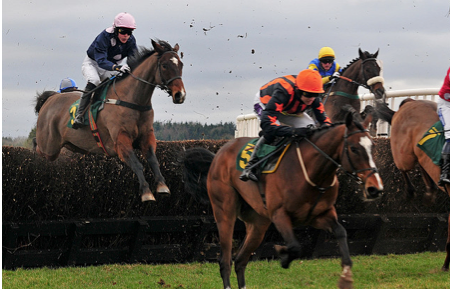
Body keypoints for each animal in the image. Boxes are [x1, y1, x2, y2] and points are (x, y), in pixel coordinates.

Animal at [33, 39, 185, 201]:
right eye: (164, 65)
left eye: (181, 64)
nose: (180, 95)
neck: (132, 100)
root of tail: (51, 98)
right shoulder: (120, 140)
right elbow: (137, 164)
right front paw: (146, 193)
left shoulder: (146, 136)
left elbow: (153, 160)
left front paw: (162, 186)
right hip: (49, 147)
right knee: (38, 147)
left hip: (72, 145)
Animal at [183, 112, 384, 288]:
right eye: (354, 148)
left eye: (373, 147)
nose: (375, 188)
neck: (312, 171)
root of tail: (218, 154)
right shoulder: (279, 214)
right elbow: (294, 247)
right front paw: (283, 255)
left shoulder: (320, 215)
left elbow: (341, 232)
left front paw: (346, 278)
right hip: (225, 213)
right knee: (225, 260)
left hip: (258, 223)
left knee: (240, 260)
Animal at [376, 98, 450, 270]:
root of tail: (411, 101)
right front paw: (445, 266)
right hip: (404, 154)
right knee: (403, 166)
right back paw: (411, 192)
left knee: (423, 162)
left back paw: (430, 191)